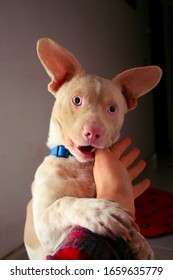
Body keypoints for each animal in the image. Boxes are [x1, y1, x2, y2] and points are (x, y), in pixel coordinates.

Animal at [24, 37, 162, 260]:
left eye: (112, 109)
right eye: (76, 100)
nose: (93, 132)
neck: (79, 164)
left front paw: (139, 240)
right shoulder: (44, 225)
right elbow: (65, 202)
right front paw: (99, 212)